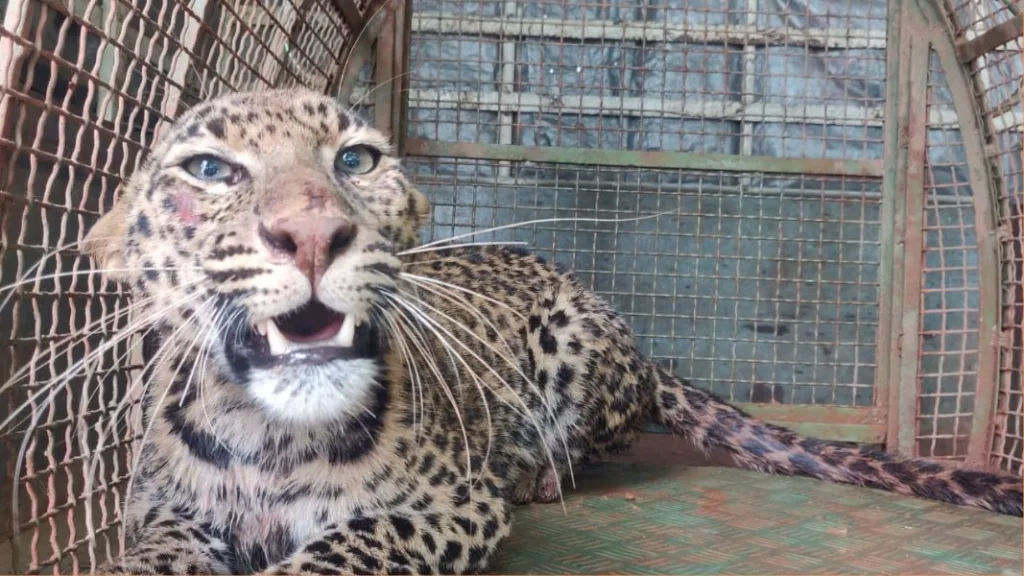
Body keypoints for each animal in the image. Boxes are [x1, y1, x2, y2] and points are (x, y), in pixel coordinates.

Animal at [45, 87, 1022, 574]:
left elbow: (346, 547)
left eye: (355, 159)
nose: (314, 232)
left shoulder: (445, 506)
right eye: (210, 170)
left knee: (578, 456)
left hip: (570, 346)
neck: (269, 436)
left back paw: (538, 472)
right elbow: (153, 555)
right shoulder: (162, 513)